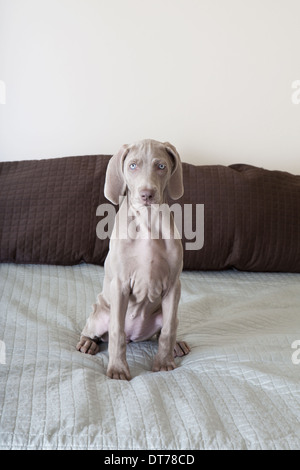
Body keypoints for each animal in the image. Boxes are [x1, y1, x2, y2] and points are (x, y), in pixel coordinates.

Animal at [77, 139, 190, 378]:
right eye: (132, 166)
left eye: (161, 166)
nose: (147, 194)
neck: (147, 223)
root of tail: (134, 337)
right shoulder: (120, 284)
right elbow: (117, 332)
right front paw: (118, 369)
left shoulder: (173, 285)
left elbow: (168, 330)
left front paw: (164, 362)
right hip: (100, 314)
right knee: (97, 332)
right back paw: (87, 343)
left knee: (166, 327)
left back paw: (177, 345)